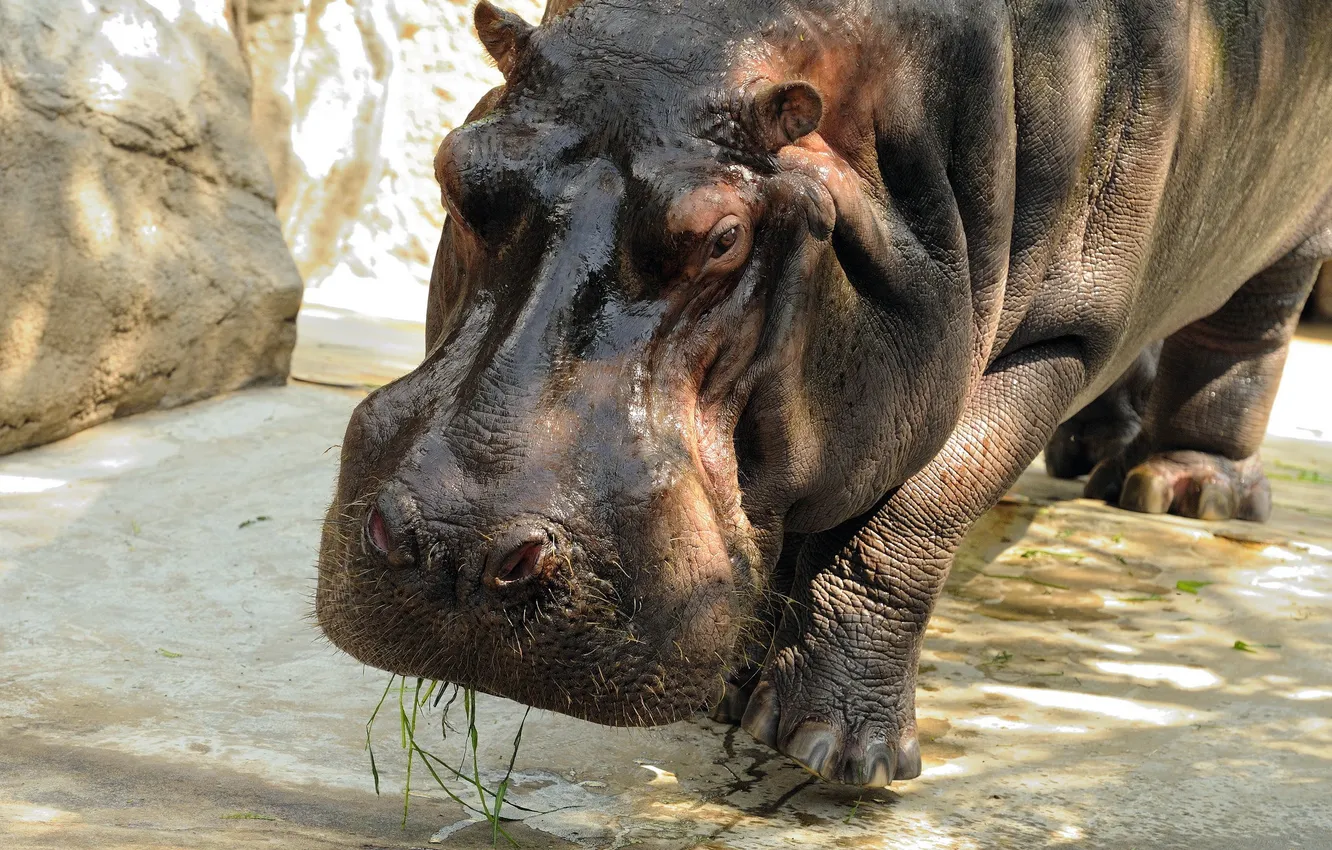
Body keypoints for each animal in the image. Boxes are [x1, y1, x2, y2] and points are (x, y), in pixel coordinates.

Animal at [317, 0, 1332, 787]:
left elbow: (918, 508)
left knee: (1249, 330)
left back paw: (1183, 492)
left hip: (1293, 230)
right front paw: (741, 692)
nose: (458, 549)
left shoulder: (1058, 337)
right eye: (456, 171)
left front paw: (832, 753)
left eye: (725, 236)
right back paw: (1096, 457)